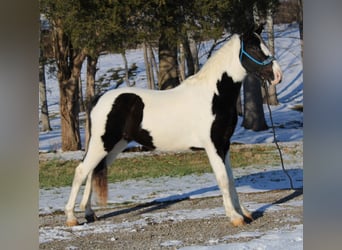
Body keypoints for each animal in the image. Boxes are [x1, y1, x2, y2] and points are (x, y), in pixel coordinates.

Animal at [65, 27, 284, 227]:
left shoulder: (224, 145)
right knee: (81, 170)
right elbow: (223, 178)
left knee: (93, 171)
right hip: (102, 144)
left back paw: (90, 214)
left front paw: (244, 212)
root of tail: (98, 100)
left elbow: (231, 179)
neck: (214, 95)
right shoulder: (213, 146)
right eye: (254, 48)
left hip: (114, 146)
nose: (277, 75)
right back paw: (71, 217)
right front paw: (235, 217)